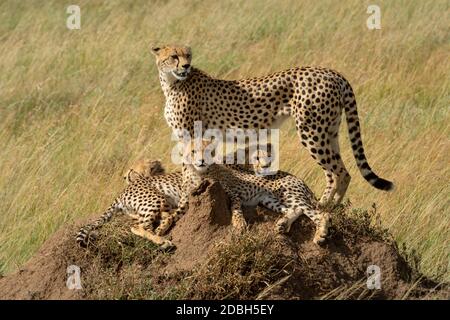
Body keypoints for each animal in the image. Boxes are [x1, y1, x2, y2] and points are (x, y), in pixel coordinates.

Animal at [149, 44, 392, 205]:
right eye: (174, 56)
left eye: (188, 55)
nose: (186, 66)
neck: (172, 82)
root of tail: (332, 72)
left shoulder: (189, 133)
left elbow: (187, 165)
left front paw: (187, 190)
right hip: (329, 130)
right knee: (335, 173)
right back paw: (329, 207)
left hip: (311, 131)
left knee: (340, 172)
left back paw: (325, 208)